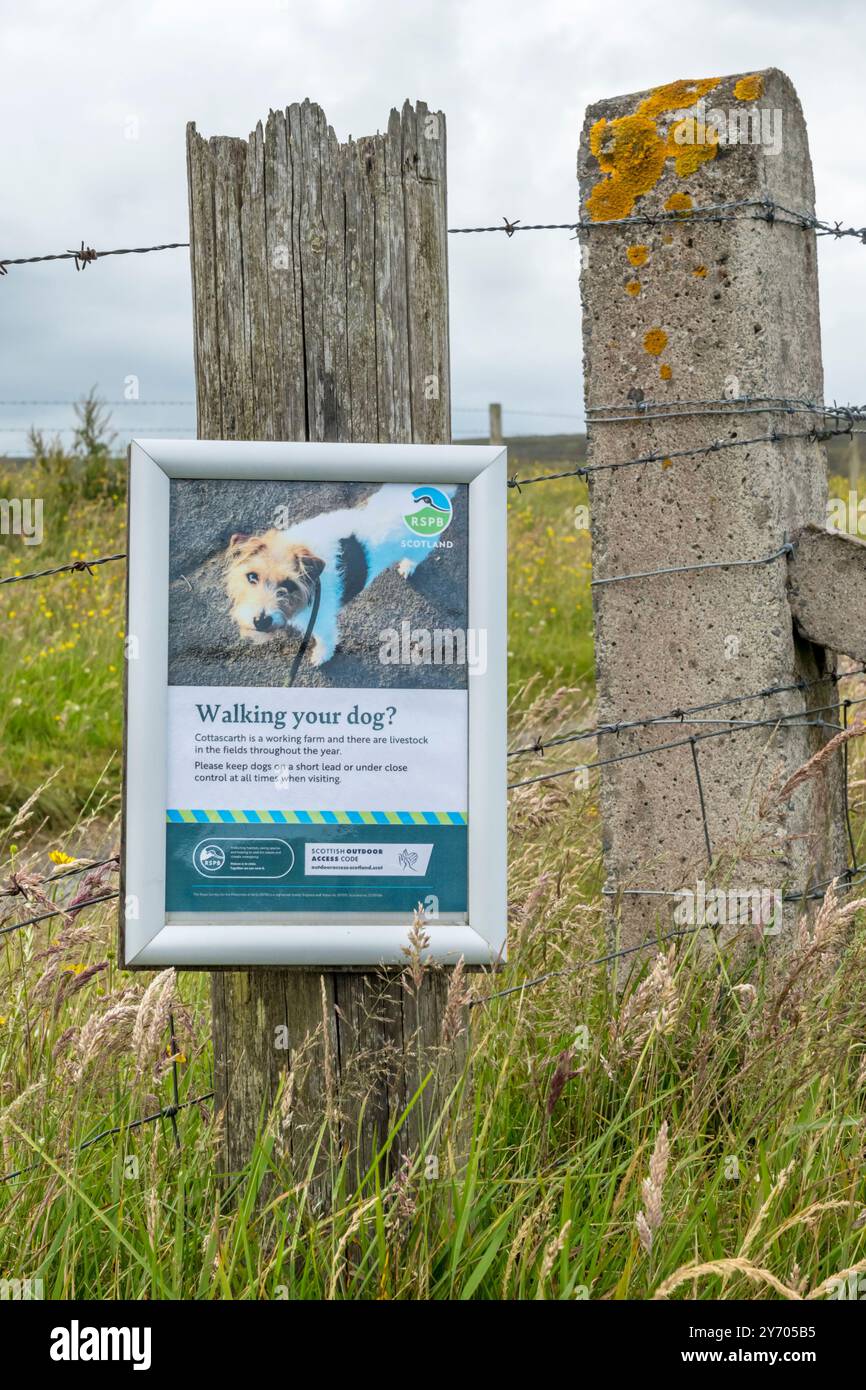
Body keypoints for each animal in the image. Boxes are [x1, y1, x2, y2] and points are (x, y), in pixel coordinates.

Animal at [222, 486, 453, 664]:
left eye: (289, 584)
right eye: (252, 577)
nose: (261, 621)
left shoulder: (321, 621)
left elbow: (326, 640)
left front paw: (321, 656)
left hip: (419, 548)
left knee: (415, 557)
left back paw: (407, 566)